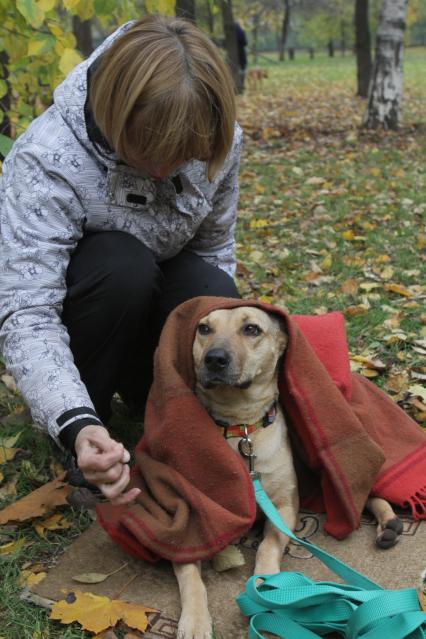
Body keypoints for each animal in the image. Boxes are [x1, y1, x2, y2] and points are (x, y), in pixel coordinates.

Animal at [172, 308, 402, 636]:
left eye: (252, 329)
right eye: (203, 328)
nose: (214, 359)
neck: (241, 427)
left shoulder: (284, 506)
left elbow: (268, 546)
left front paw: (267, 586)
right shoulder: (185, 522)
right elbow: (190, 574)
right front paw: (194, 620)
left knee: (360, 491)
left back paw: (388, 522)